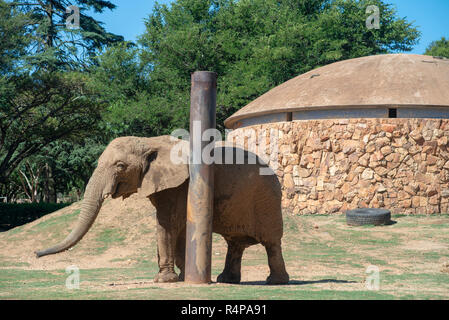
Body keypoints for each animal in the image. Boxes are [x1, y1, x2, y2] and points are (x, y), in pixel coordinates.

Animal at [34, 135, 288, 284]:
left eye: (120, 166)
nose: (36, 254)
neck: (150, 142)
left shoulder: (181, 185)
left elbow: (168, 224)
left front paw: (164, 280)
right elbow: (178, 228)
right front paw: (182, 277)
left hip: (267, 200)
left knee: (271, 242)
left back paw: (276, 281)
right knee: (235, 243)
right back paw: (226, 279)